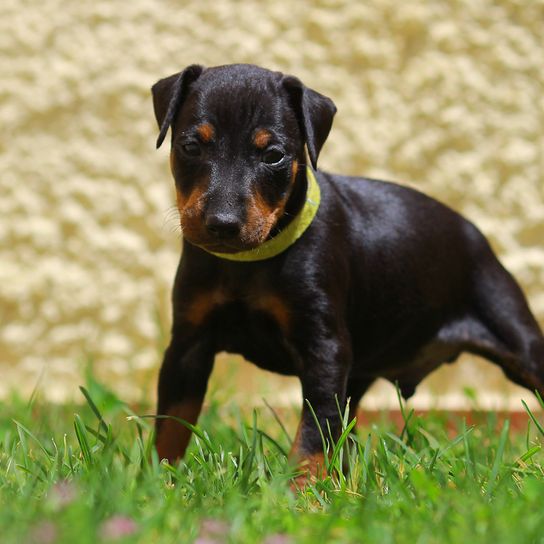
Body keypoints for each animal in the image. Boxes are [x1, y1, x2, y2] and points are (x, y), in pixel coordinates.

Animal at [151, 63, 544, 484]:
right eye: (191, 146)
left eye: (273, 155)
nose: (222, 224)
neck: (251, 262)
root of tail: (476, 234)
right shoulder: (188, 345)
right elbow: (171, 423)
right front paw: (158, 480)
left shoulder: (325, 349)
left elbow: (314, 430)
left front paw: (300, 489)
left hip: (515, 335)